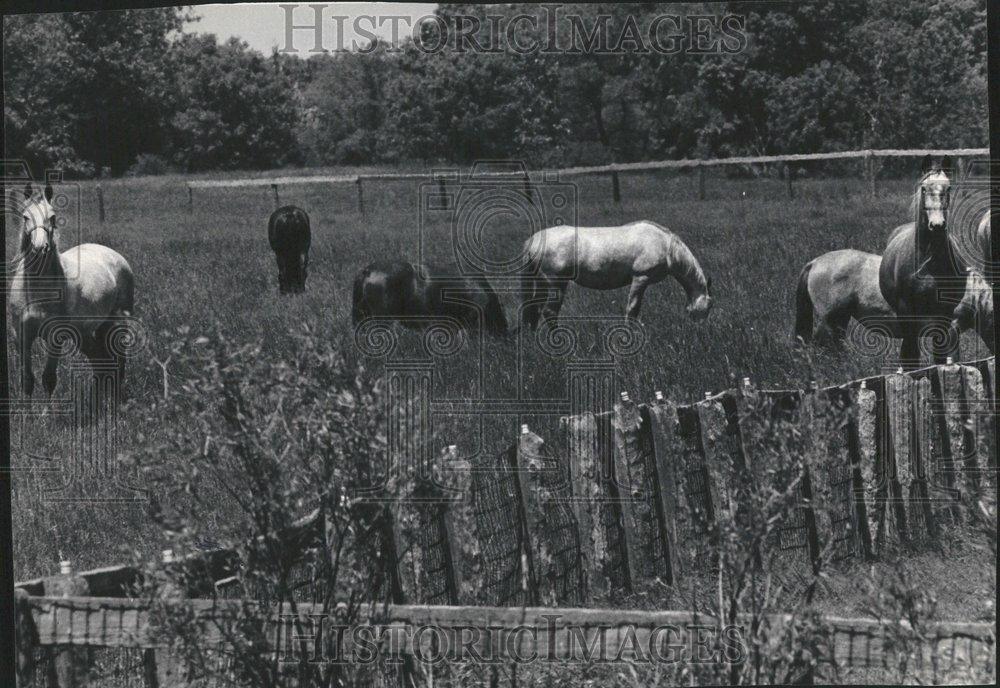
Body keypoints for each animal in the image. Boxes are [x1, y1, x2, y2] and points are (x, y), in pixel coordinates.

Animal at [7, 184, 136, 398]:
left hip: (116, 323)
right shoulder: (21, 336)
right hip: (84, 333)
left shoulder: (55, 337)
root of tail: (114, 255)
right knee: (99, 361)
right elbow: (27, 381)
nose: (39, 248)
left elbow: (48, 380)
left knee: (119, 361)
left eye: (52, 217)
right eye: (25, 217)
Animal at [516, 220, 712, 328]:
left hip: (542, 283)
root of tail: (533, 240)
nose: (700, 329)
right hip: (557, 284)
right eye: (709, 307)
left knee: (533, 309)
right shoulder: (641, 278)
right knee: (549, 312)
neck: (665, 246)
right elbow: (632, 308)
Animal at [880, 157, 964, 368]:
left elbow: (940, 354)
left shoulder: (944, 312)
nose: (937, 225)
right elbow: (910, 353)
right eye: (924, 188)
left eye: (948, 188)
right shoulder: (906, 311)